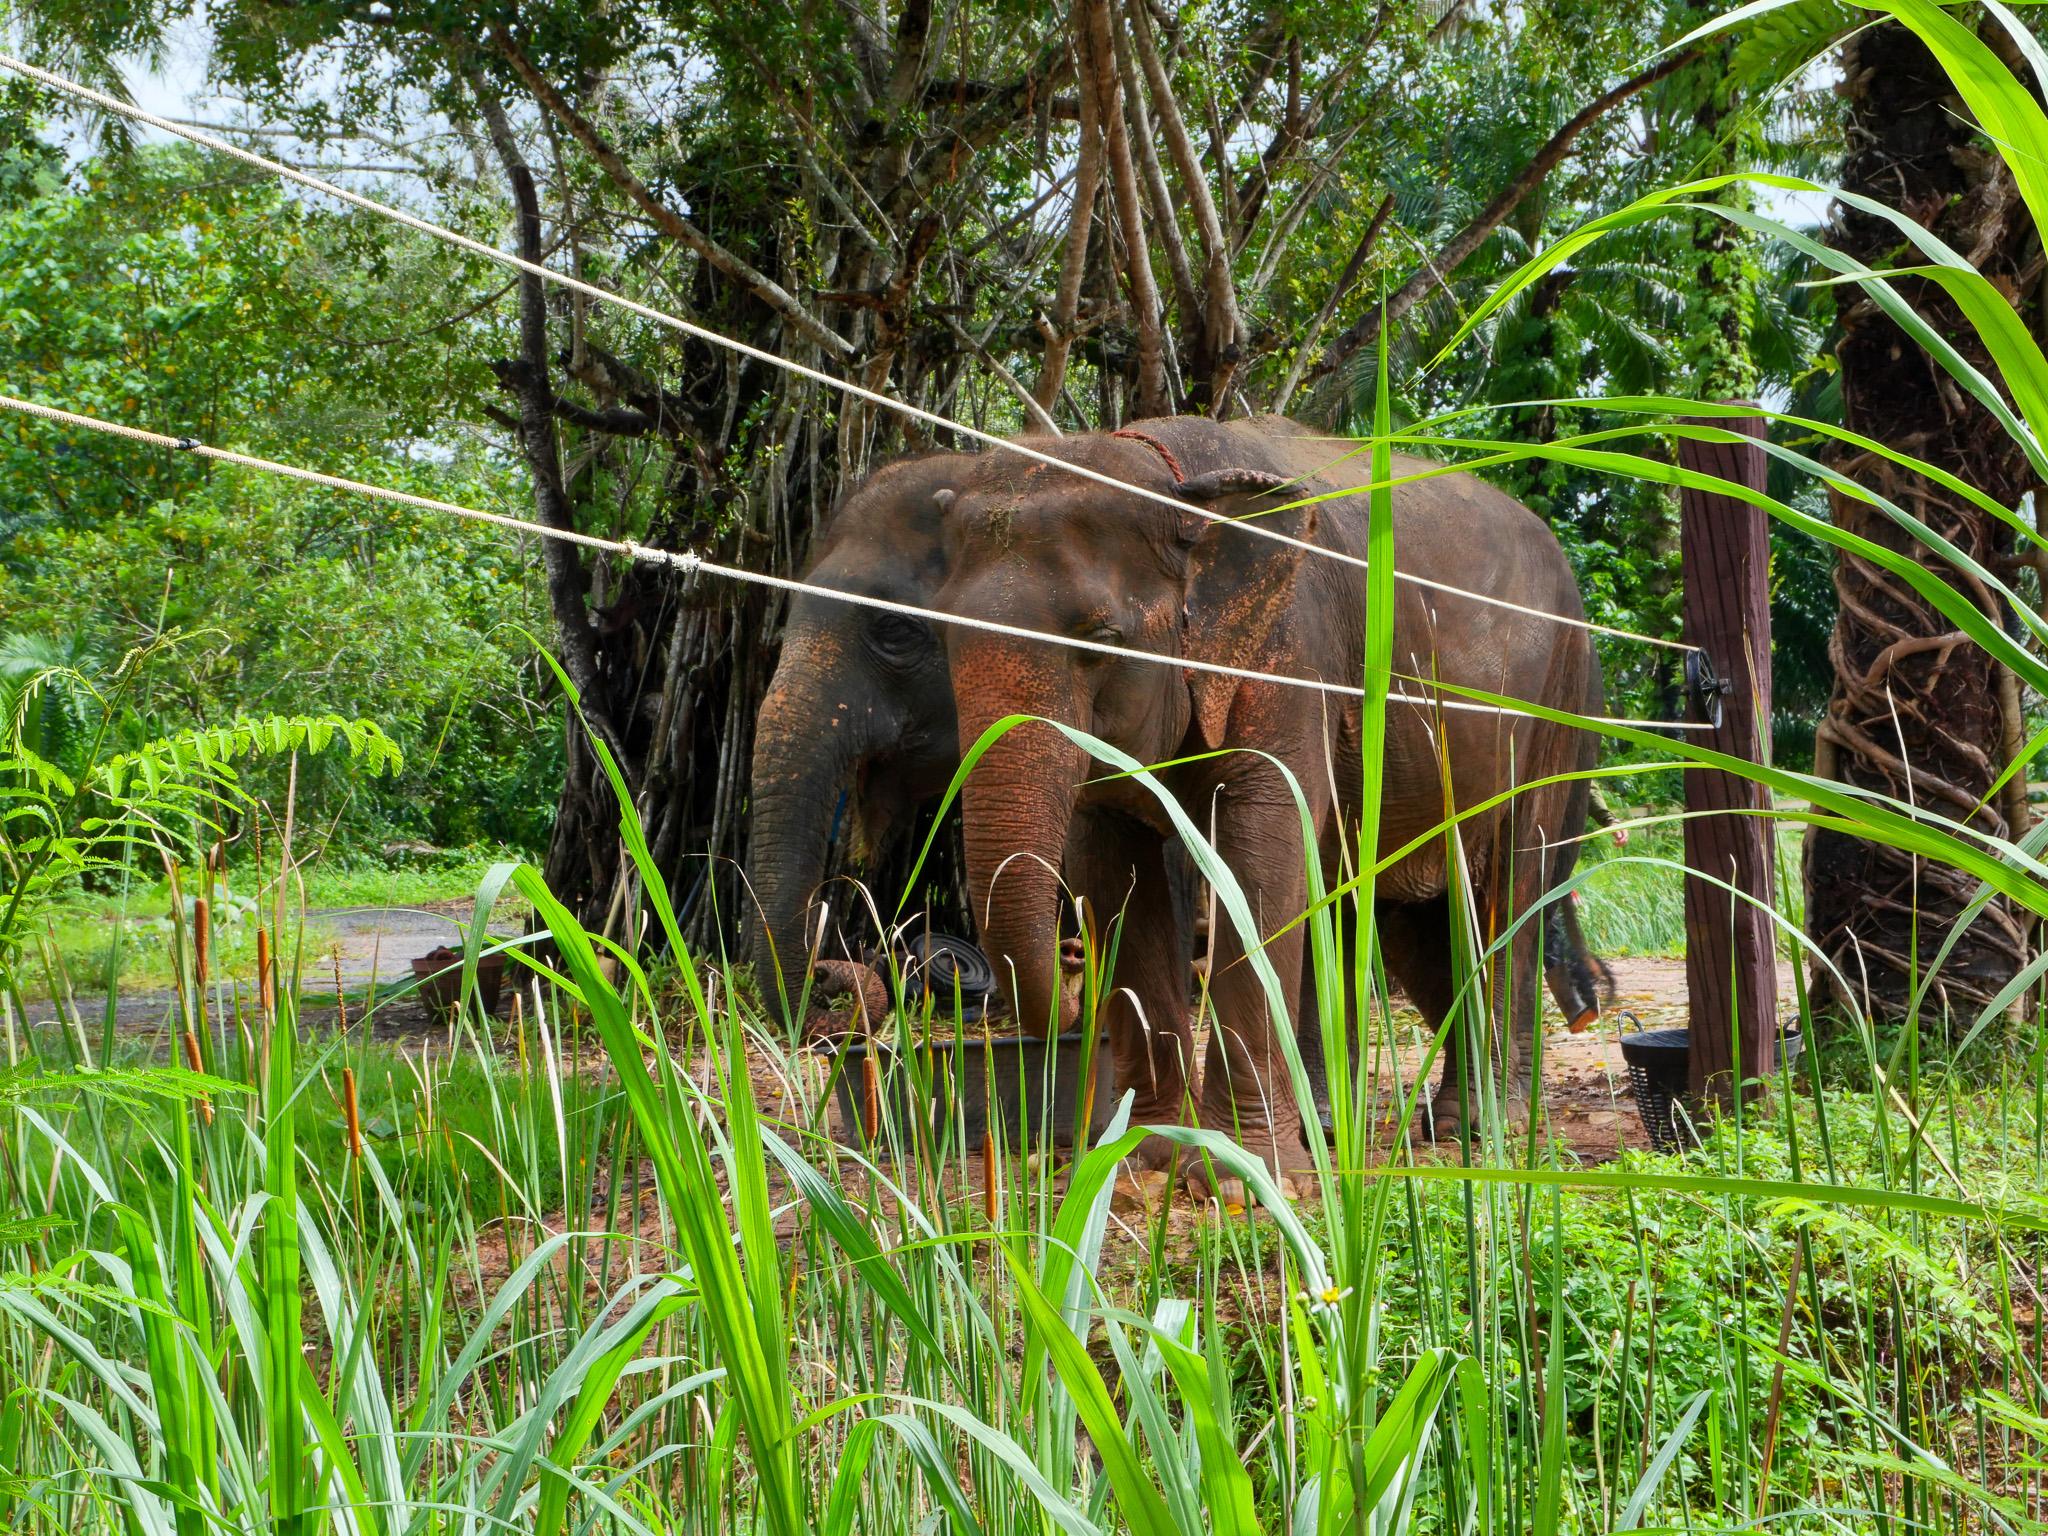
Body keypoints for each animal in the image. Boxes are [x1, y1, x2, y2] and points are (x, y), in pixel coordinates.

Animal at [931, 415, 1602, 1199]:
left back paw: (1483, 1126)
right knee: (1392, 908)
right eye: (939, 632)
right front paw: (1144, 1158)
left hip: (1559, 699)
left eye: (1101, 639)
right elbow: (1114, 863)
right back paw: (1367, 1126)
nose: (1071, 972)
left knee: (1508, 883)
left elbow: (1260, 843)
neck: (1174, 477)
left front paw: (1241, 1178)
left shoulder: (1291, 652)